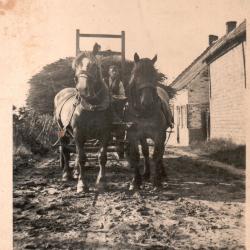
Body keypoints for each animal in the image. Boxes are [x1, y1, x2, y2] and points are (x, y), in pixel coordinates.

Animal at [54, 43, 111, 193]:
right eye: (75, 66)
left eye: (94, 65)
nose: (82, 89)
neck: (93, 106)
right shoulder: (78, 133)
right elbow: (81, 158)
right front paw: (82, 184)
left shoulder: (105, 132)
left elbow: (102, 156)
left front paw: (101, 182)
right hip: (62, 130)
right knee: (66, 151)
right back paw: (67, 174)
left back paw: (75, 172)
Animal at [125, 52, 170, 189]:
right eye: (136, 73)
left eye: (154, 74)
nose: (147, 102)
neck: (144, 113)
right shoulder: (134, 135)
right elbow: (136, 155)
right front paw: (136, 181)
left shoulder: (159, 134)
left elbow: (156, 155)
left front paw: (156, 181)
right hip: (143, 137)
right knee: (145, 151)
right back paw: (146, 173)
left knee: (161, 153)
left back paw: (161, 172)